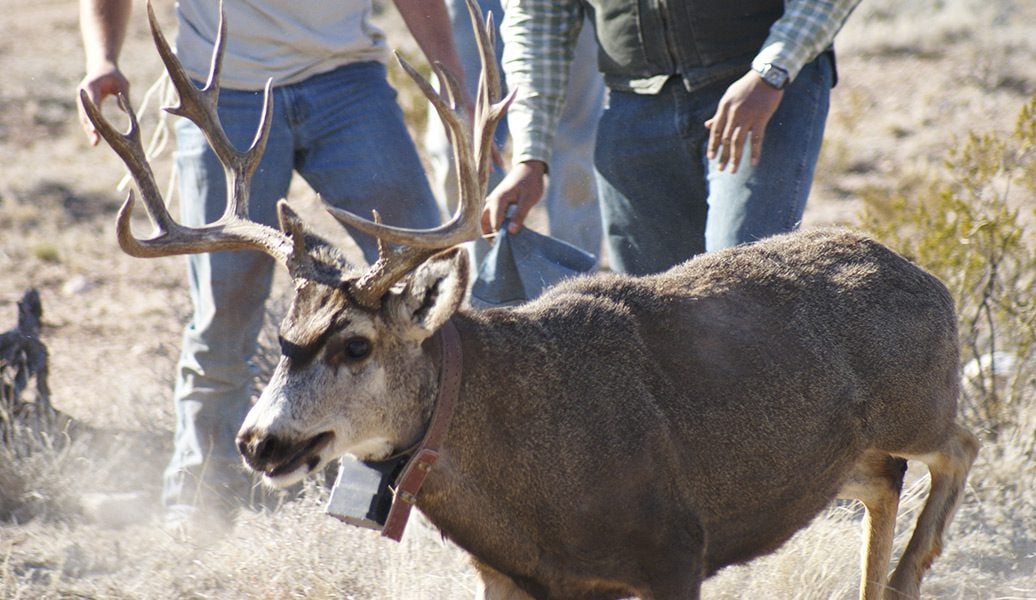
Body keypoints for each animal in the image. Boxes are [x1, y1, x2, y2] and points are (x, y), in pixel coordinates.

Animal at [81, 1, 978, 598]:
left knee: (957, 445)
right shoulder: (512, 576)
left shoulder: (675, 548)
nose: (260, 442)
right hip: (843, 456)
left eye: (354, 345)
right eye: (283, 341)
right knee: (885, 482)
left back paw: (912, 572)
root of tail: (925, 275)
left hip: (918, 397)